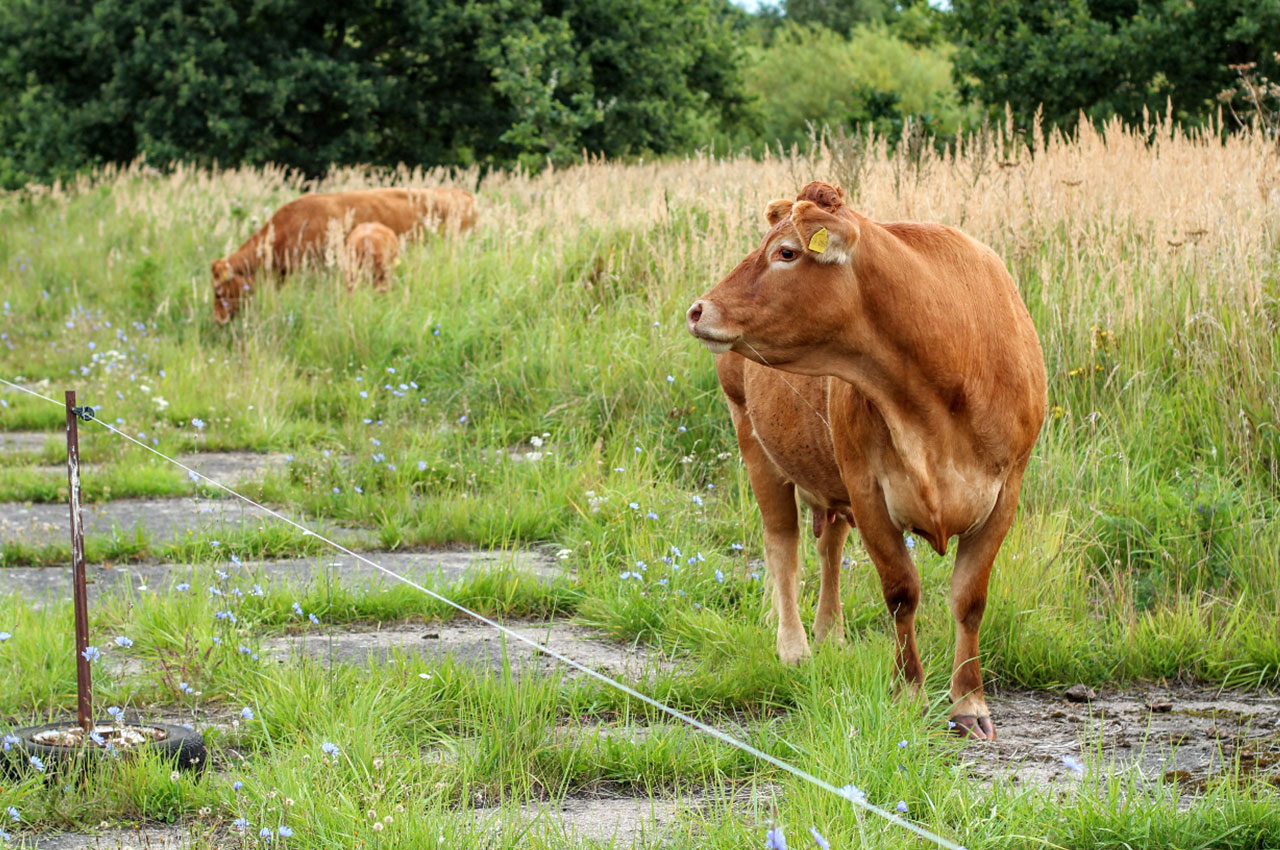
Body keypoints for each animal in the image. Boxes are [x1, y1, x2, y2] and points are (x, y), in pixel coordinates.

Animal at [686, 179, 1044, 737]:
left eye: (786, 252)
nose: (699, 309)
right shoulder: (868, 490)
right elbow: (901, 592)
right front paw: (908, 692)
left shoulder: (1005, 492)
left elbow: (969, 599)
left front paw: (969, 704)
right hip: (753, 440)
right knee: (782, 546)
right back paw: (794, 646)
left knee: (828, 547)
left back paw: (830, 632)